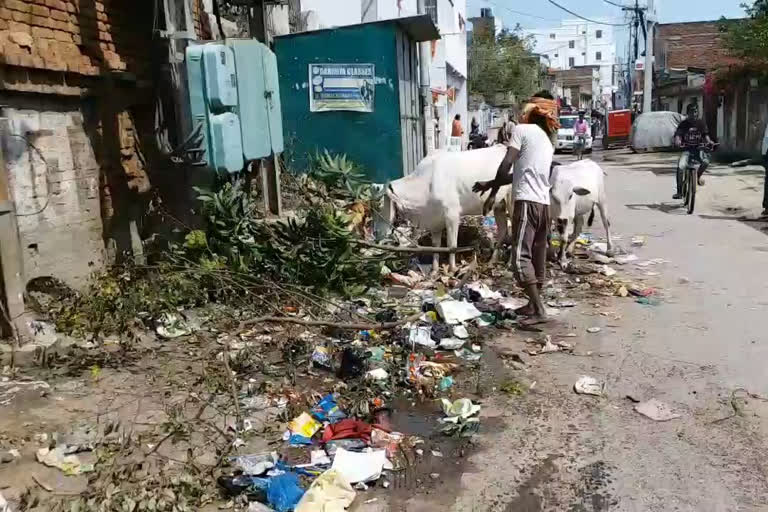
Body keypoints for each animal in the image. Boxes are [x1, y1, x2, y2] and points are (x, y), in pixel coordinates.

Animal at [376, 145, 512, 272]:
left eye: (382, 207)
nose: (377, 233)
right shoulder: (435, 219)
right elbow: (436, 245)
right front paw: (434, 270)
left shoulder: (452, 214)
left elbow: (452, 245)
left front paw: (452, 269)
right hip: (499, 205)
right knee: (503, 230)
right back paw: (492, 260)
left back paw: (509, 263)